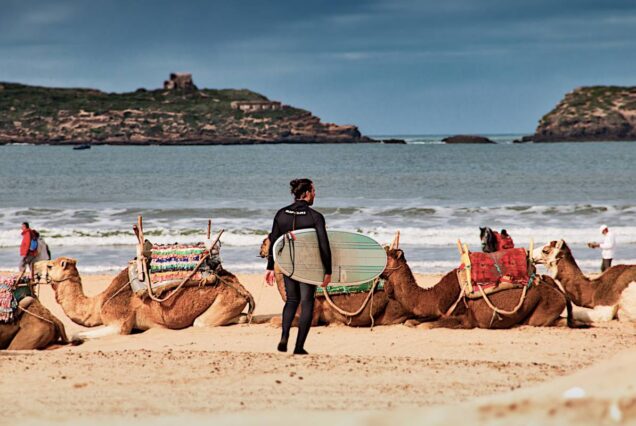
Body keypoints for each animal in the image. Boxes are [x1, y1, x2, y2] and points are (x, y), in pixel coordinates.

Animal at [46, 256, 258, 340]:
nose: (39, 271)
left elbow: (78, 334)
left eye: (50, 265)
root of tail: (242, 288)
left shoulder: (119, 321)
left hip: (227, 298)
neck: (98, 304)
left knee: (202, 322)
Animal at [380, 246, 584, 330]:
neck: (435, 296)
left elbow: (426, 326)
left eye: (385, 256)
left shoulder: (466, 319)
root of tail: (558, 290)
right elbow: (411, 322)